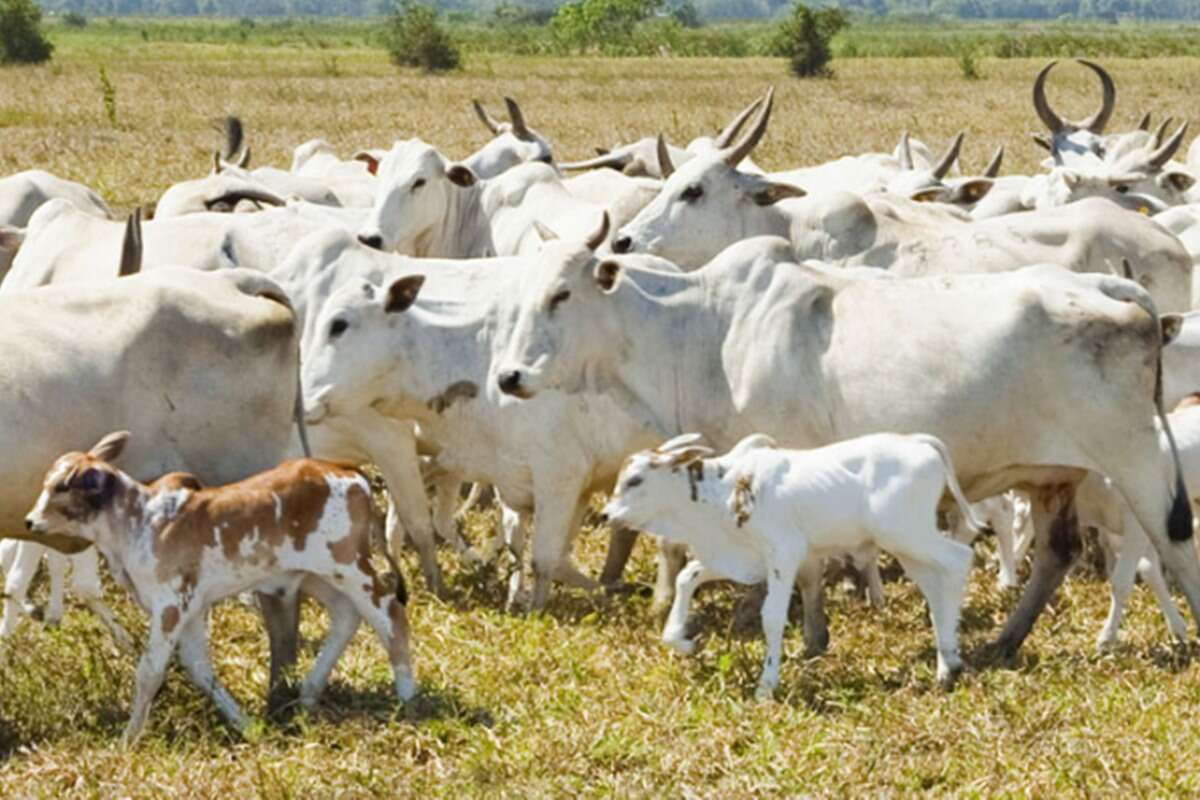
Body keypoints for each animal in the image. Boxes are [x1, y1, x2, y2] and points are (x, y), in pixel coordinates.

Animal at [22, 434, 417, 743]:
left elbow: (149, 671)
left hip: (349, 567)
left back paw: (408, 695)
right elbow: (199, 668)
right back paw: (308, 692)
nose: (29, 521)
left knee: (389, 613)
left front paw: (127, 739)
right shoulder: (193, 609)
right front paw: (246, 724)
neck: (138, 522)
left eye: (60, 487)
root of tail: (347, 471)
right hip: (316, 576)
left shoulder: (170, 606)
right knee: (348, 615)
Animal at [492, 237, 1200, 657]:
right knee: (1056, 554)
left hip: (1134, 458)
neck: (706, 328)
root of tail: (1111, 288)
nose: (508, 376)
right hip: (1057, 475)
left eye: (562, 293)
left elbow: (801, 564)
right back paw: (1002, 644)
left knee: (1175, 543)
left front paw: (792, 630)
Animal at [604, 431, 979, 700]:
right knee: (935, 586)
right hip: (909, 547)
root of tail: (919, 442)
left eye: (634, 480)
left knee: (958, 560)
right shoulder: (740, 558)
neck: (725, 490)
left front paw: (766, 685)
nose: (606, 515)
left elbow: (771, 617)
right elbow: (686, 577)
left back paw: (948, 666)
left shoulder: (784, 554)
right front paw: (683, 641)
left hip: (907, 534)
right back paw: (949, 659)